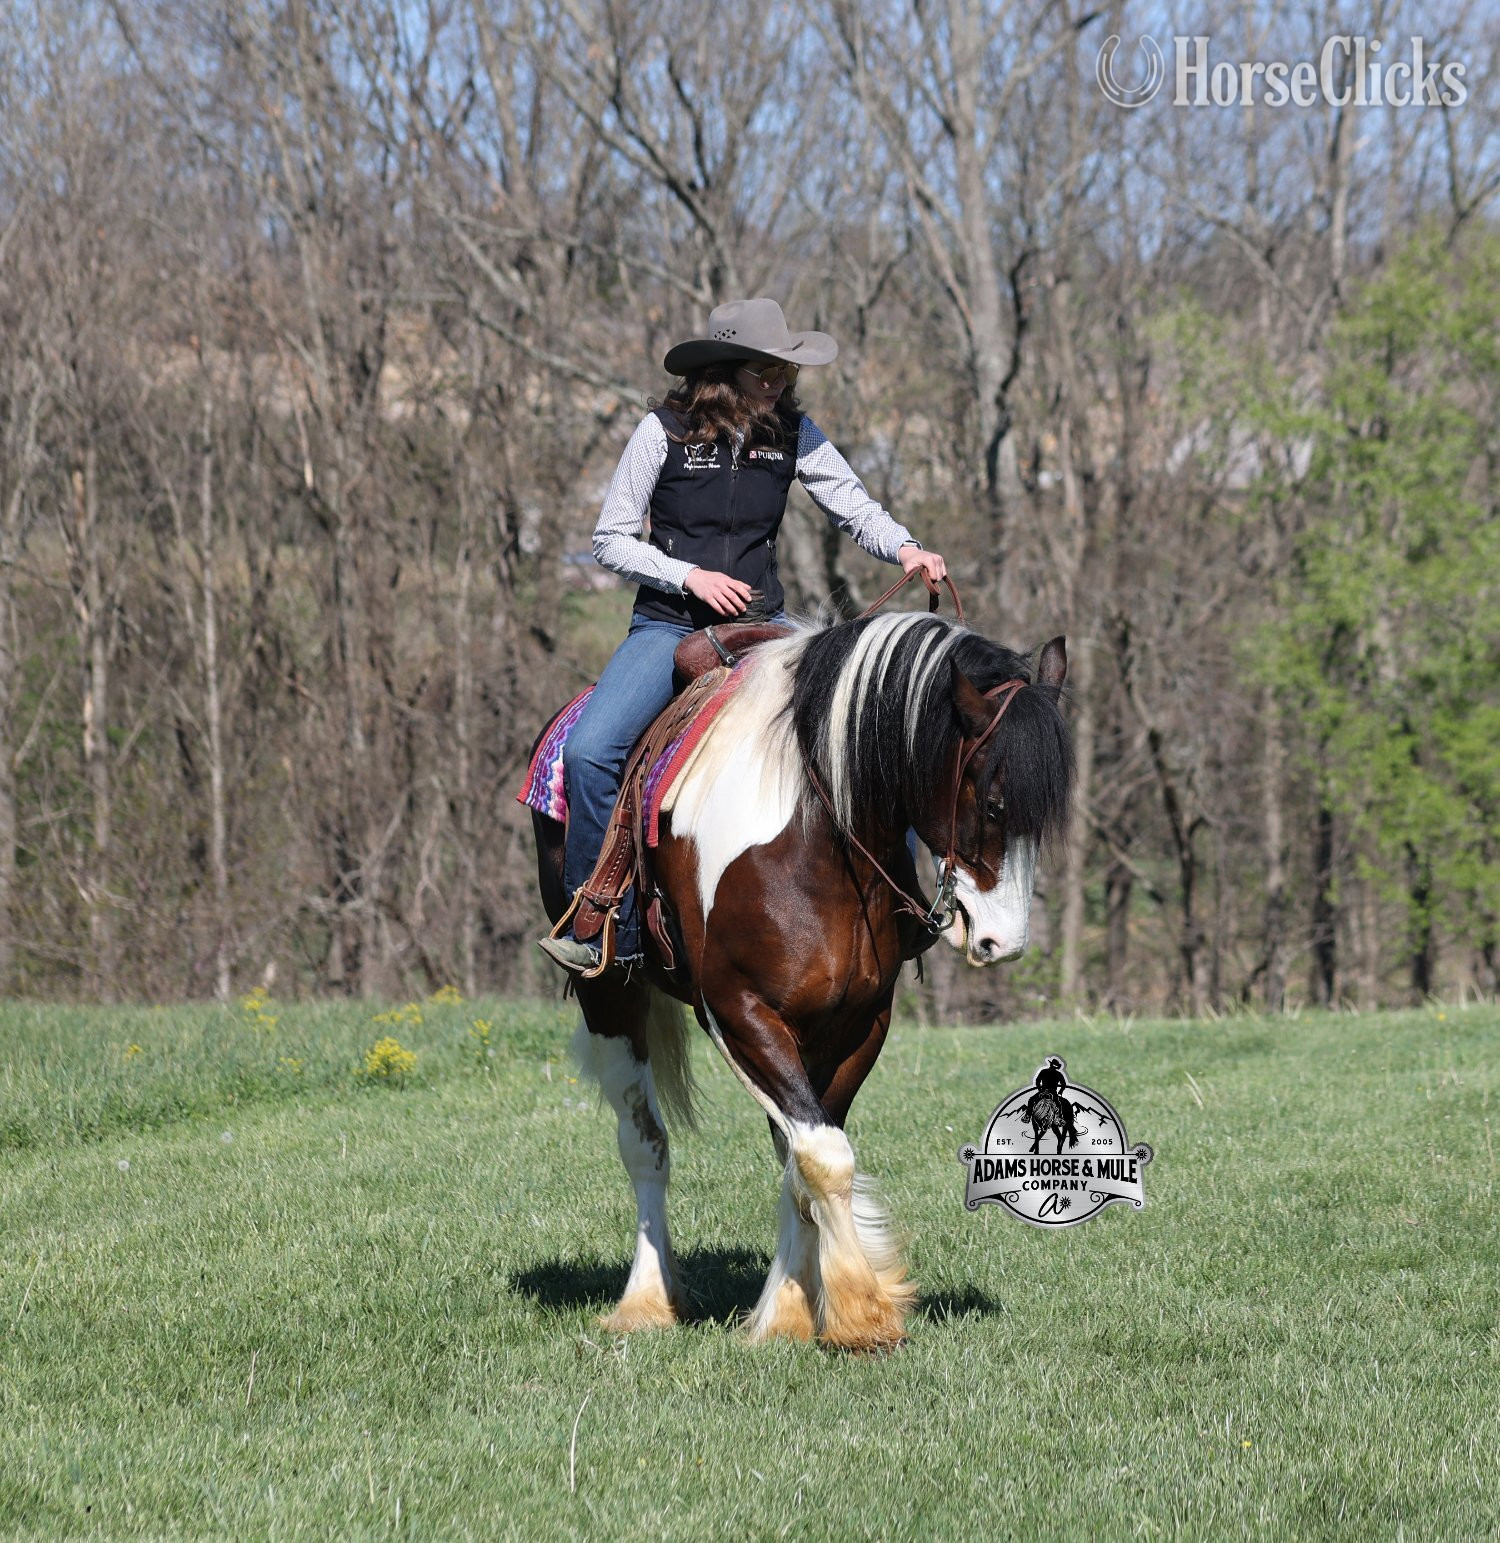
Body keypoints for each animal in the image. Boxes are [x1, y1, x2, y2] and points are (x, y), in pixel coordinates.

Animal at [530, 610, 1072, 1351]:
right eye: (991, 803)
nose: (1004, 942)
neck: (815, 837)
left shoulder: (856, 1023)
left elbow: (805, 1156)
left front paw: (791, 1311)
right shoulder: (738, 1014)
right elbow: (822, 1154)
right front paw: (861, 1313)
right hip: (609, 997)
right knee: (644, 1144)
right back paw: (645, 1300)